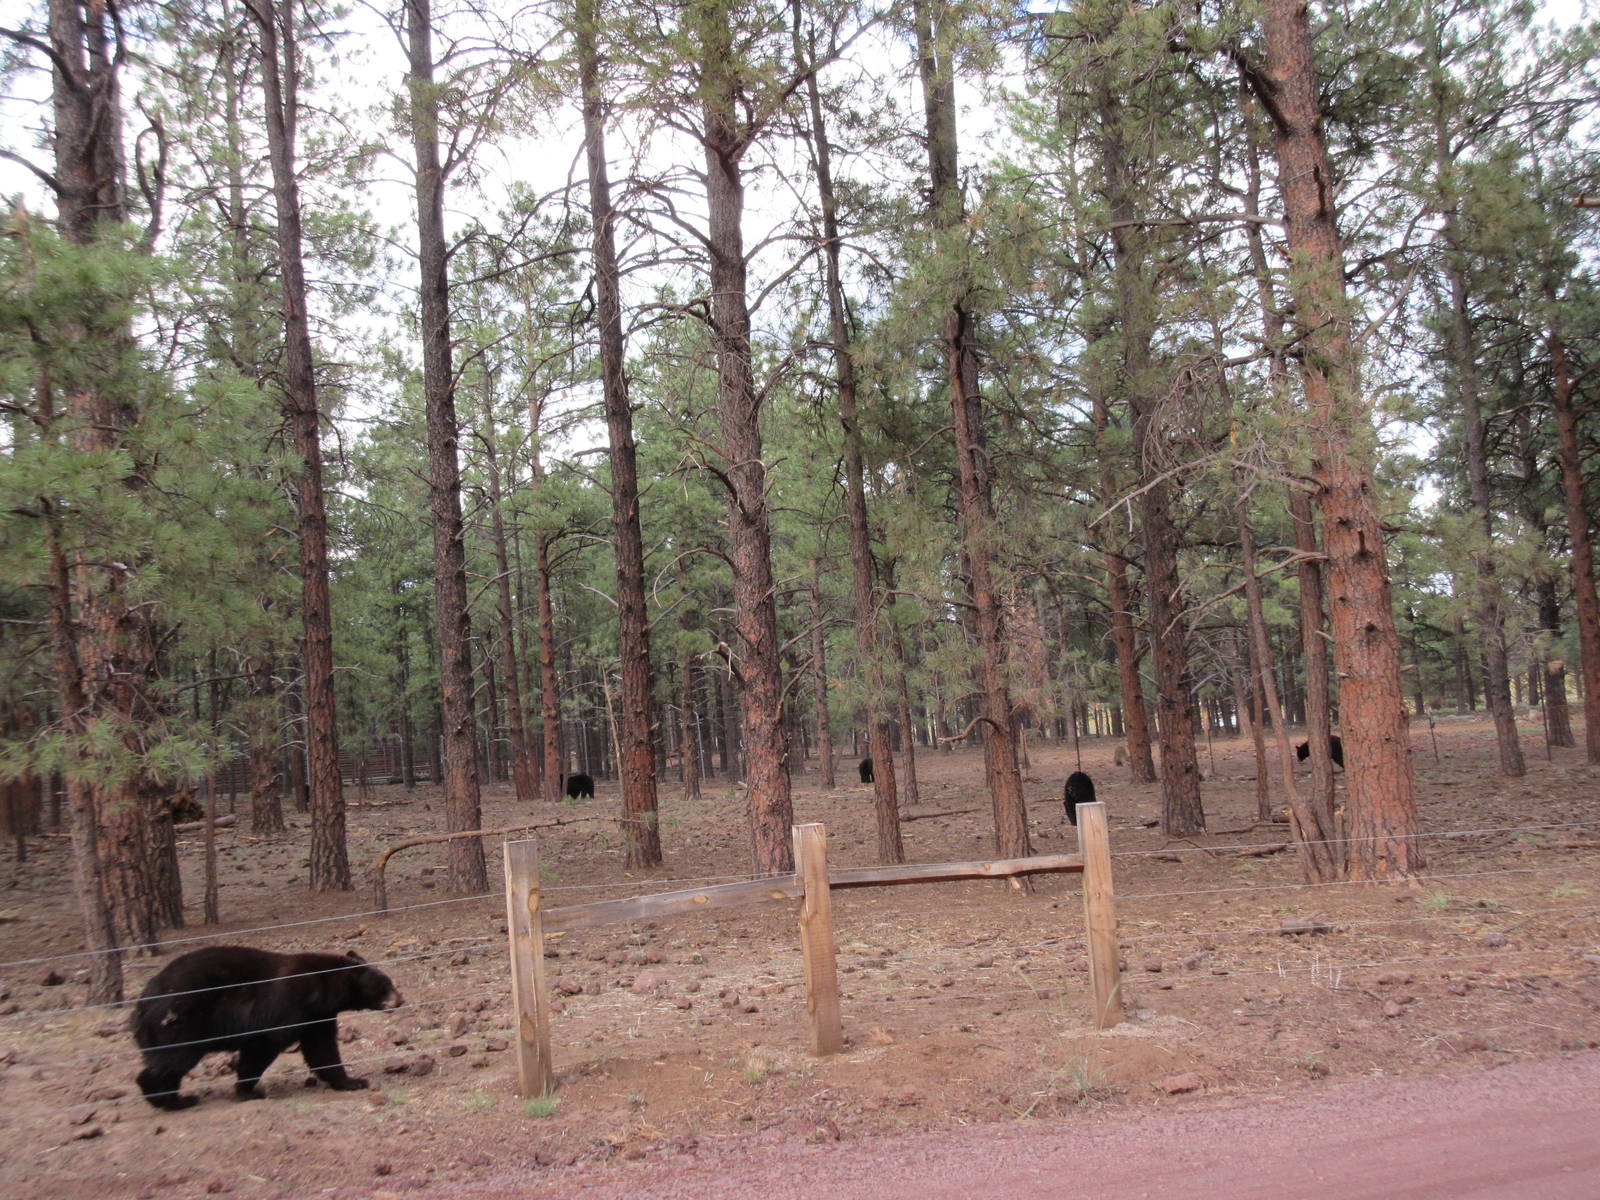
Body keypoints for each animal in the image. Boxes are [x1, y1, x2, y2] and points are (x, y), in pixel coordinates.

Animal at [132, 945, 401, 1110]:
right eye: (385, 986)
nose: (400, 999)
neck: (322, 986)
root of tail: (144, 1000)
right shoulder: (288, 1005)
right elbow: (264, 1045)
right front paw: (248, 1091)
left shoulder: (317, 1016)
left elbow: (322, 1050)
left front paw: (352, 1081)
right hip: (182, 1021)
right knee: (175, 1058)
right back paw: (172, 1100)